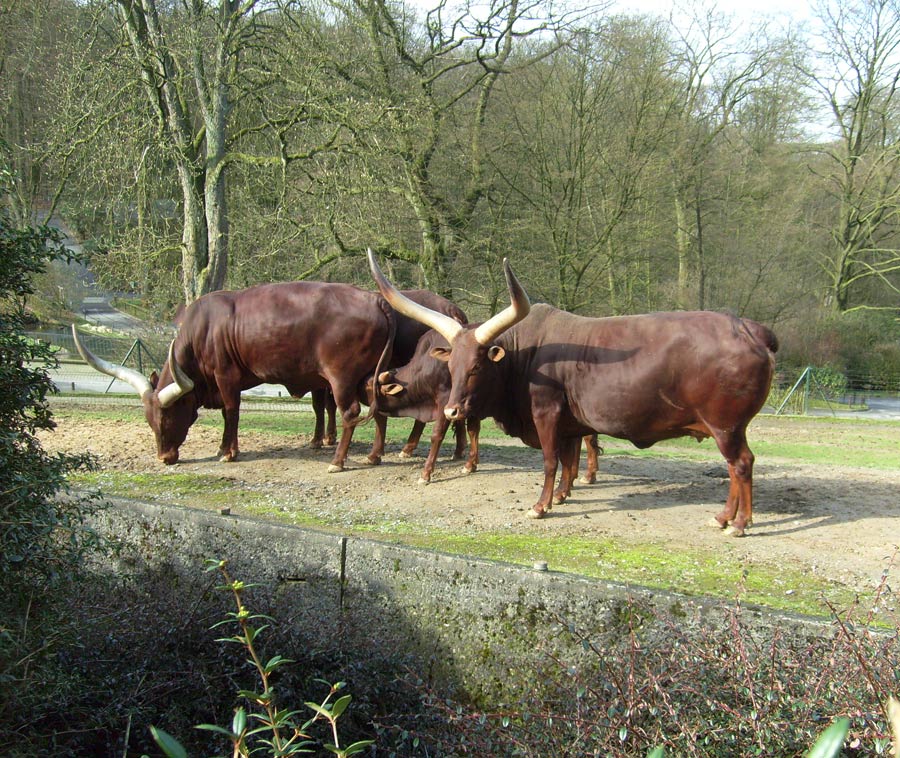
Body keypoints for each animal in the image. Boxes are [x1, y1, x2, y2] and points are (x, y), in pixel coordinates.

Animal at [70, 282, 394, 472]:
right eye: (149, 421)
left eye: (167, 418)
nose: (164, 458)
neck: (203, 330)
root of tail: (374, 299)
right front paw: (222, 448)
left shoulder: (226, 376)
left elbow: (231, 412)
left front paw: (229, 452)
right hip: (371, 378)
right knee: (378, 411)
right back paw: (372, 455)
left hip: (341, 379)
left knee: (349, 412)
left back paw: (338, 461)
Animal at [370, 252, 776, 536]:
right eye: (451, 368)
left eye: (477, 368)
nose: (452, 411)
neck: (524, 355)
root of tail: (748, 328)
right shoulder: (570, 423)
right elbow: (569, 459)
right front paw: (563, 495)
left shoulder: (546, 414)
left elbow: (551, 460)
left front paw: (541, 505)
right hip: (729, 428)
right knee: (737, 466)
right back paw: (725, 519)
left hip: (726, 426)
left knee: (741, 464)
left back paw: (738, 524)